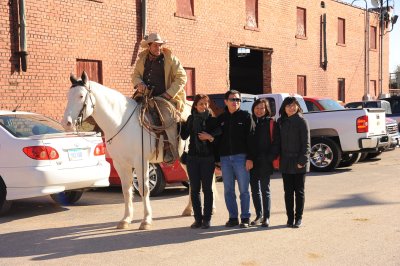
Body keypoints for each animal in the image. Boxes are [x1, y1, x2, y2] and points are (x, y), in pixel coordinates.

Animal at [62, 71, 195, 230]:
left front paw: (146, 220)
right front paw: (126, 219)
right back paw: (190, 209)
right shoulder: (120, 164)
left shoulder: (141, 162)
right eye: (68, 96)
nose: (66, 123)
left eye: (81, 96)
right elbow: (126, 190)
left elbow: (144, 189)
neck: (120, 123)